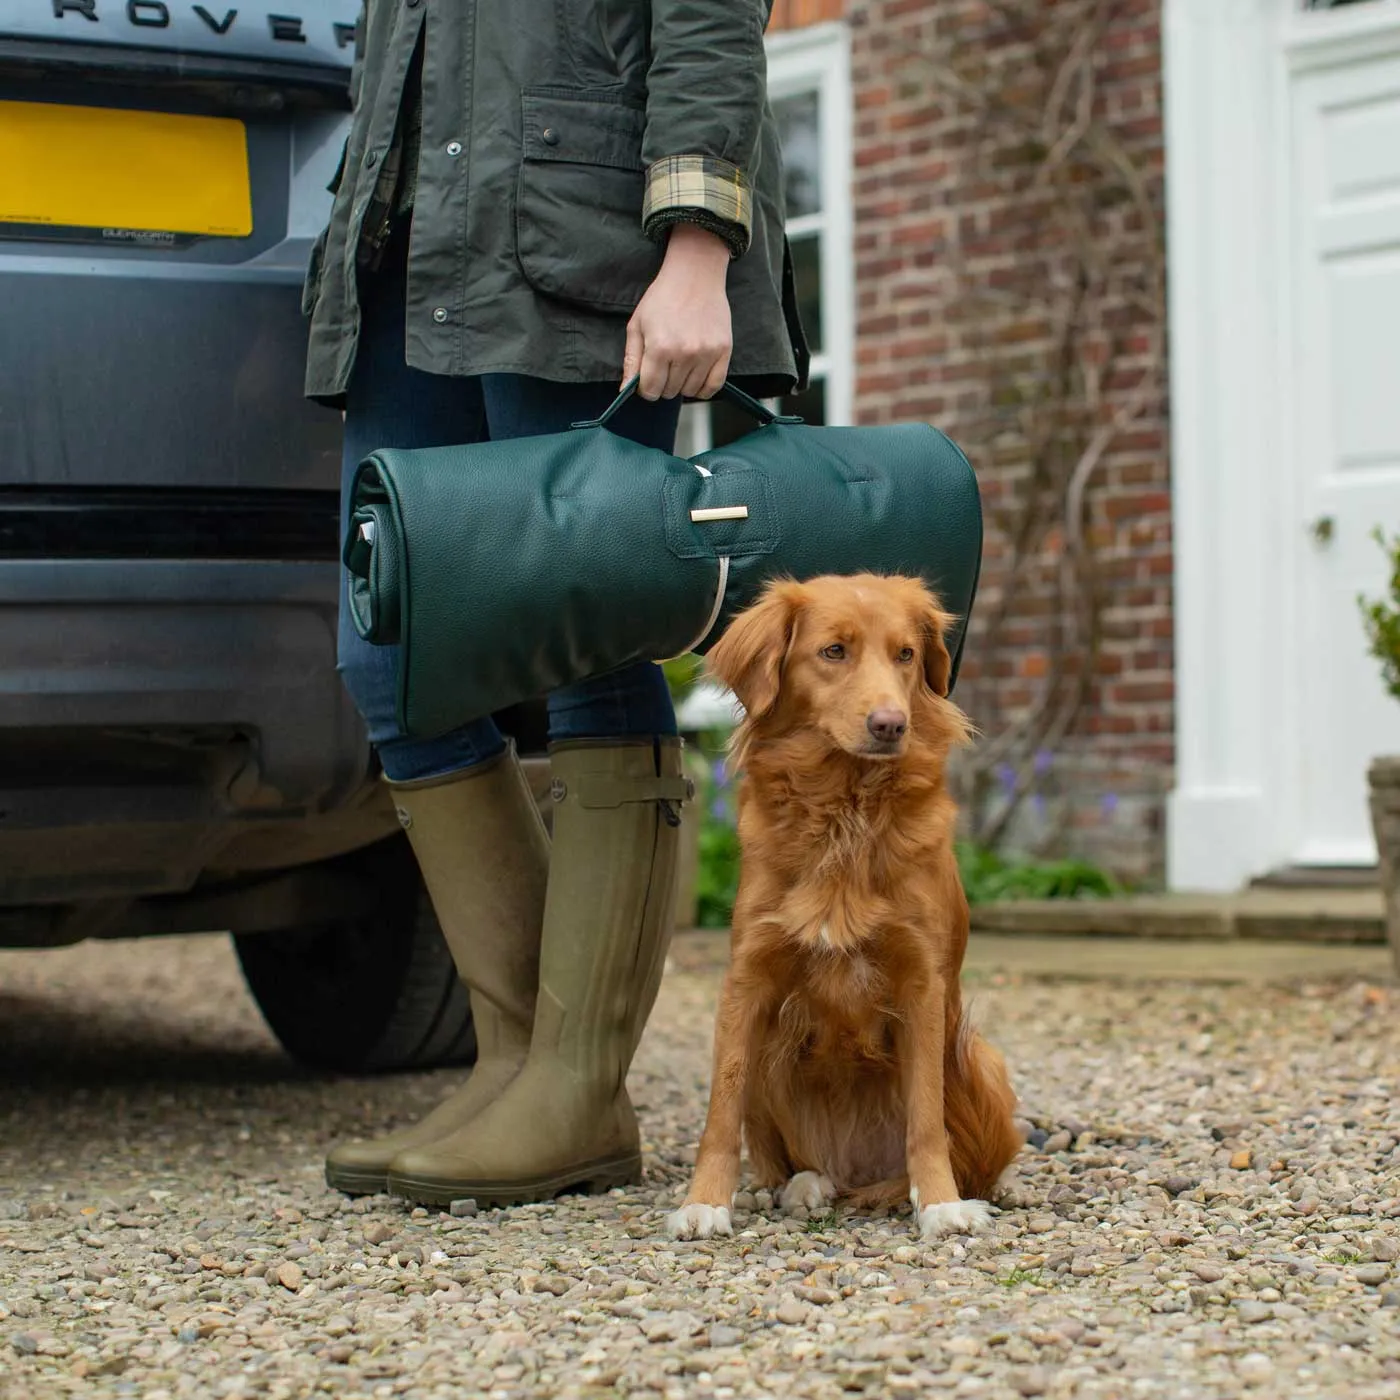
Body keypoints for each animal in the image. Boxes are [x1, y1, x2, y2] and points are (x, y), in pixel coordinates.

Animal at [663, 574, 1019, 1243]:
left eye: (905, 654)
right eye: (834, 651)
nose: (891, 724)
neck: (844, 808)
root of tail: (856, 1173)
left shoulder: (922, 983)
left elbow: (926, 1118)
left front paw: (940, 1204)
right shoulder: (747, 979)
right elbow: (721, 1111)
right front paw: (704, 1203)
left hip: (979, 1058)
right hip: (765, 1052)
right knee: (789, 1158)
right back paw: (804, 1185)